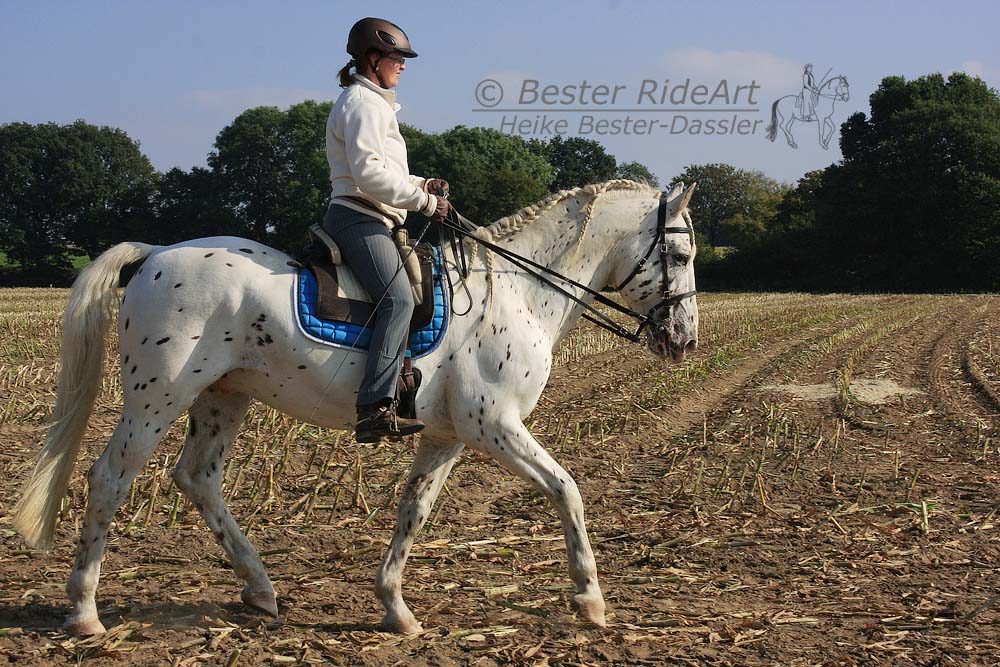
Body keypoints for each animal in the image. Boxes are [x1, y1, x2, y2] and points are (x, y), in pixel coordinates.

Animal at [17, 177, 704, 636]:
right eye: (680, 255)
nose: (685, 341)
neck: (517, 291)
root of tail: (153, 255)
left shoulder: (446, 435)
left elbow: (414, 510)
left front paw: (395, 607)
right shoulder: (494, 426)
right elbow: (567, 489)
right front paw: (589, 598)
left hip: (223, 396)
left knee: (197, 477)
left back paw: (261, 590)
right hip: (156, 397)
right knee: (109, 479)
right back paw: (84, 611)